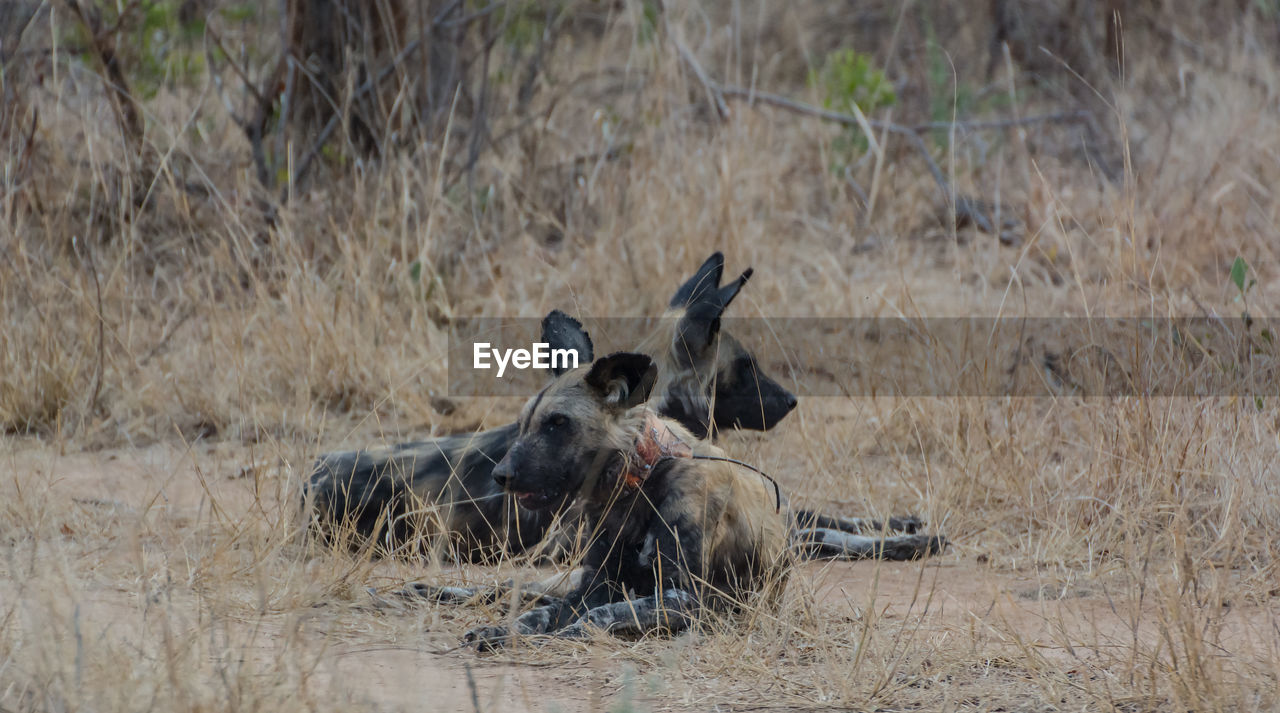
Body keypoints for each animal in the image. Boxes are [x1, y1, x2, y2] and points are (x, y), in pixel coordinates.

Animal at [409, 348, 952, 647]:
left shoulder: (684, 600)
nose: (500, 475)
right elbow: (537, 612)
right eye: (522, 425)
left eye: (557, 424)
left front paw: (565, 635)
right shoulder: (593, 586)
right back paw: (425, 591)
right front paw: (503, 632)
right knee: (511, 587)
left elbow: (594, 618)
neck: (638, 484)